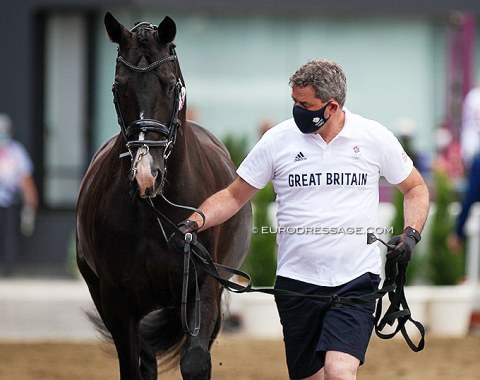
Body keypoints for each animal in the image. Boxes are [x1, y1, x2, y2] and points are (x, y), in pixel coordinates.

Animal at [76, 12, 251, 380]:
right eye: (118, 86)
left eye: (170, 84)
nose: (146, 174)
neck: (153, 213)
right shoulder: (116, 301)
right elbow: (134, 364)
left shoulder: (203, 286)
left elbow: (195, 361)